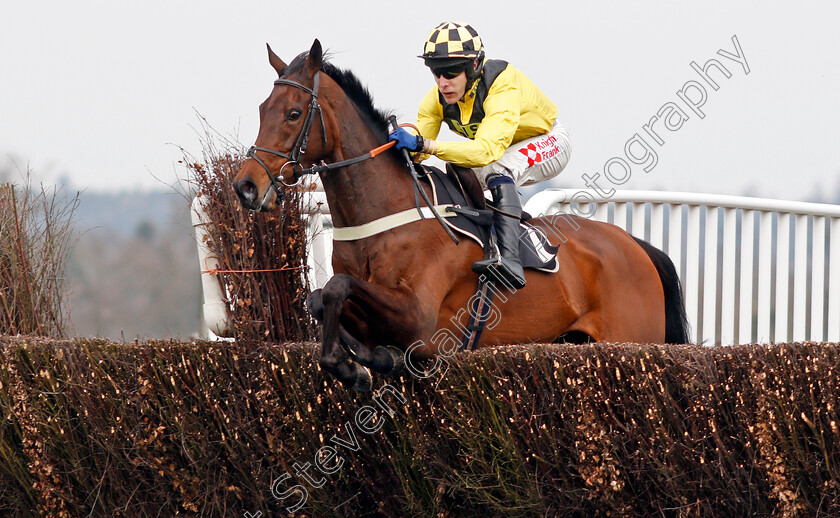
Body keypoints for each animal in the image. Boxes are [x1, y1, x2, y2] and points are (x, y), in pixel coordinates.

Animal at [231, 39, 688, 390]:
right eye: (262, 108)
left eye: (293, 113)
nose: (246, 186)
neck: (380, 221)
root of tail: (637, 247)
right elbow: (320, 297)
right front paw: (357, 360)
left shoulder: (418, 316)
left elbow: (338, 288)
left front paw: (367, 362)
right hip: (571, 341)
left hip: (631, 337)